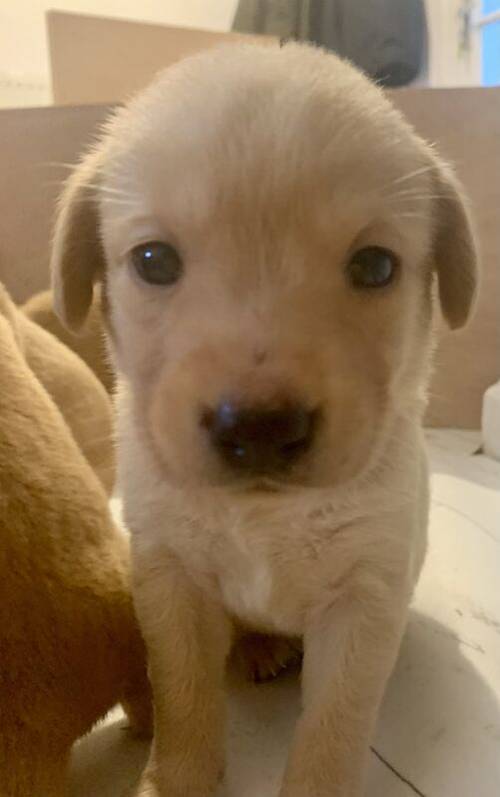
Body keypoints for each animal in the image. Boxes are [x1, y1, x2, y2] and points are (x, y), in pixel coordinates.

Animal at [49, 42, 476, 796]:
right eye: (153, 260)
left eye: (375, 266)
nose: (259, 428)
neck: (265, 513)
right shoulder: (170, 580)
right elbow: (183, 696)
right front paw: (174, 779)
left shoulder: (364, 600)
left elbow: (334, 723)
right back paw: (258, 645)